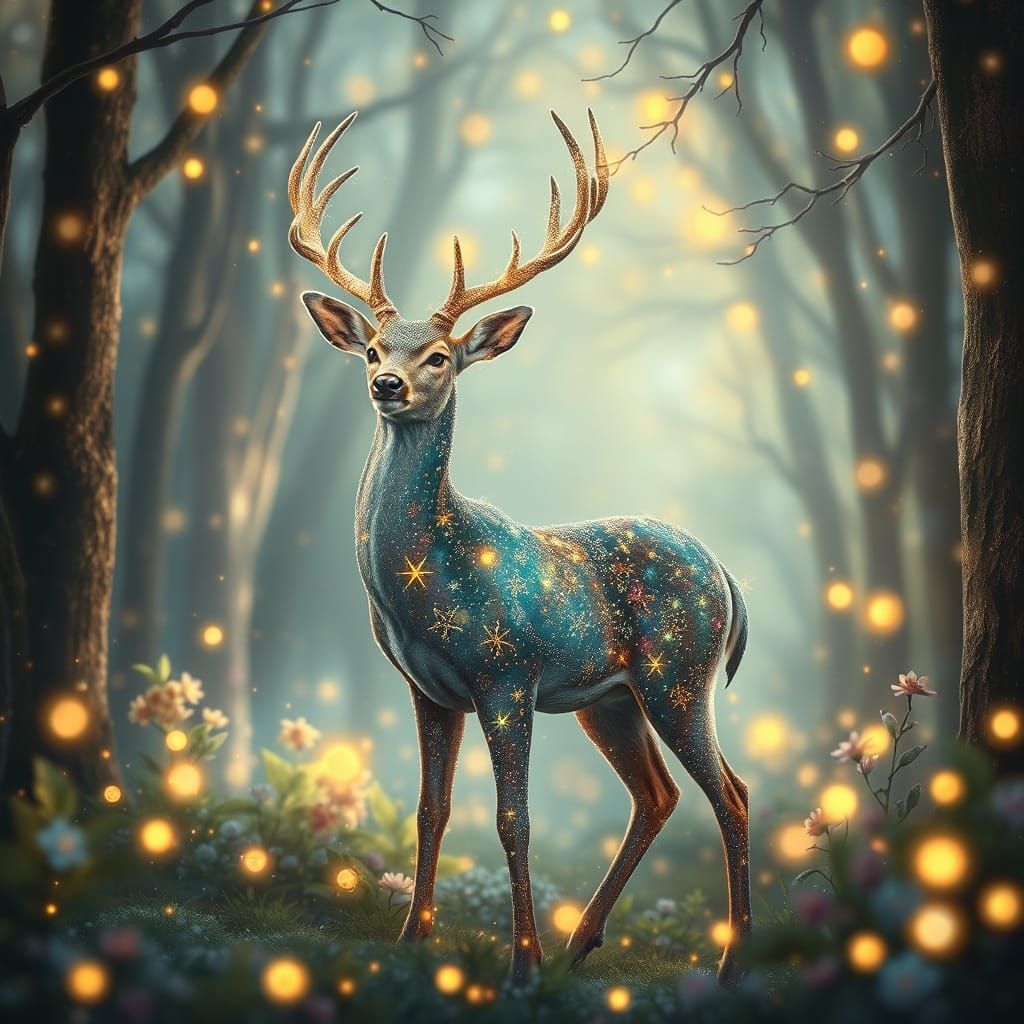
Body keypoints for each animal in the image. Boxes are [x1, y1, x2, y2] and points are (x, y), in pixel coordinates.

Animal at [287, 109, 751, 987]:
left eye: (439, 356)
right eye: (372, 349)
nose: (387, 385)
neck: (425, 587)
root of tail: (726, 573)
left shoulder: (509, 676)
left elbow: (514, 819)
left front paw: (520, 964)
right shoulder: (429, 689)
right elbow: (432, 809)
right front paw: (412, 940)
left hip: (679, 675)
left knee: (731, 795)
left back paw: (730, 963)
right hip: (610, 699)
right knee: (659, 796)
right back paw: (584, 942)